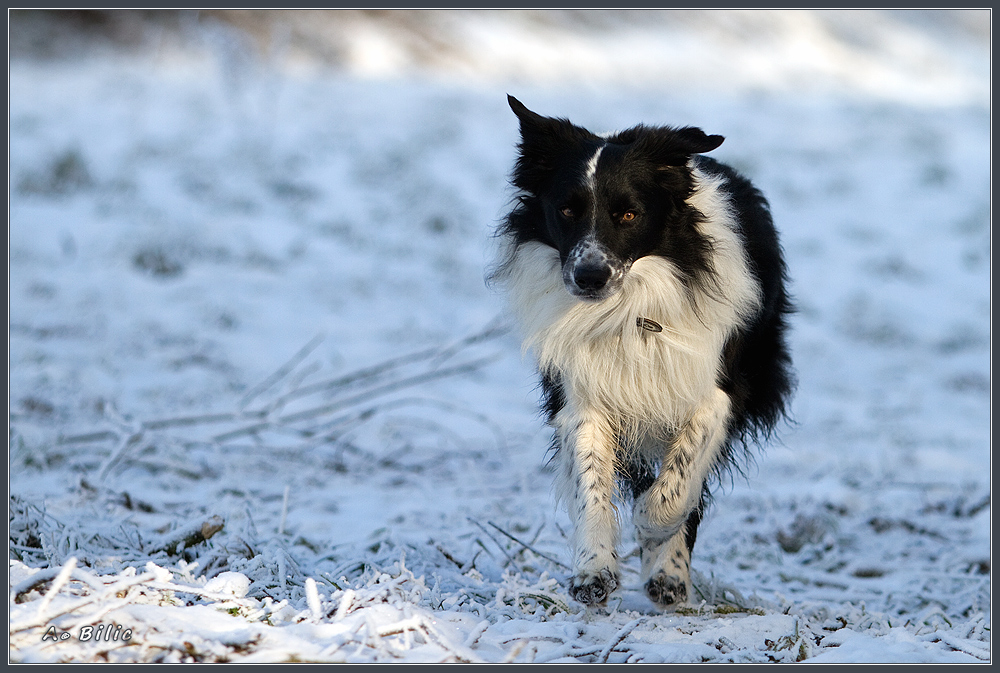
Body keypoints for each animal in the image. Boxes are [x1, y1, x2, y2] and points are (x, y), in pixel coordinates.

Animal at [494, 98, 796, 608]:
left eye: (629, 215)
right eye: (567, 209)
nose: (589, 277)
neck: (629, 307)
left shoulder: (717, 391)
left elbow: (674, 486)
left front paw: (656, 540)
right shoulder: (584, 394)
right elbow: (591, 481)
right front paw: (593, 570)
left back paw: (668, 573)